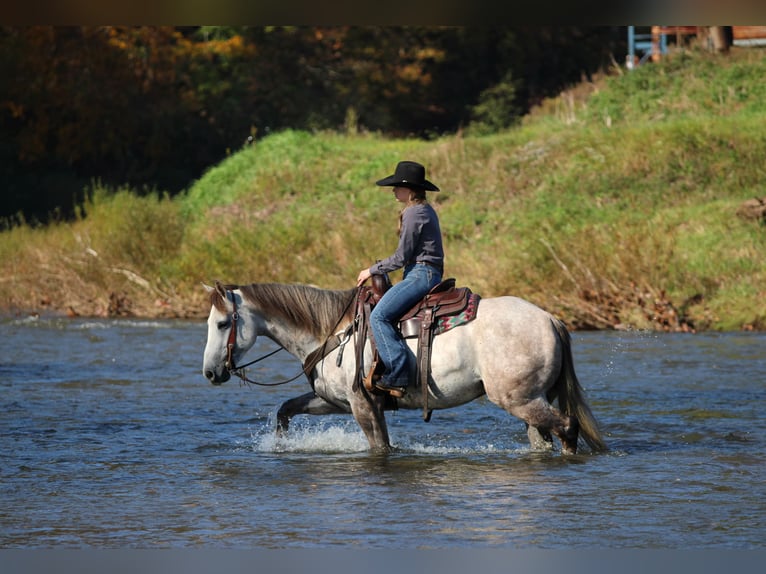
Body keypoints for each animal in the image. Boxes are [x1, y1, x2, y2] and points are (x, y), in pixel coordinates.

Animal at [202, 280, 607, 455]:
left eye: (222, 324)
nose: (209, 373)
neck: (332, 331)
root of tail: (551, 319)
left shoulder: (363, 404)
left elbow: (381, 446)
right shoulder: (337, 401)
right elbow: (285, 410)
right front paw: (281, 444)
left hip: (518, 399)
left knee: (568, 427)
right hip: (529, 401)